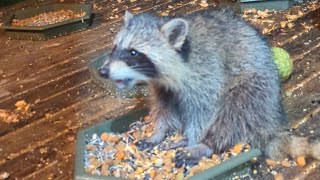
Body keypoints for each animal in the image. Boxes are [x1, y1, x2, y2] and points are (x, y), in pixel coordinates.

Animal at [100, 8, 320, 166]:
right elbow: (164, 107)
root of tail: (271, 121)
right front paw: (159, 132)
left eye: (133, 52)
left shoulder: (206, 72)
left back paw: (207, 143)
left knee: (235, 110)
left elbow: (204, 111)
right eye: (114, 47)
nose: (103, 71)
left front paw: (195, 140)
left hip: (257, 90)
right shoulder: (162, 86)